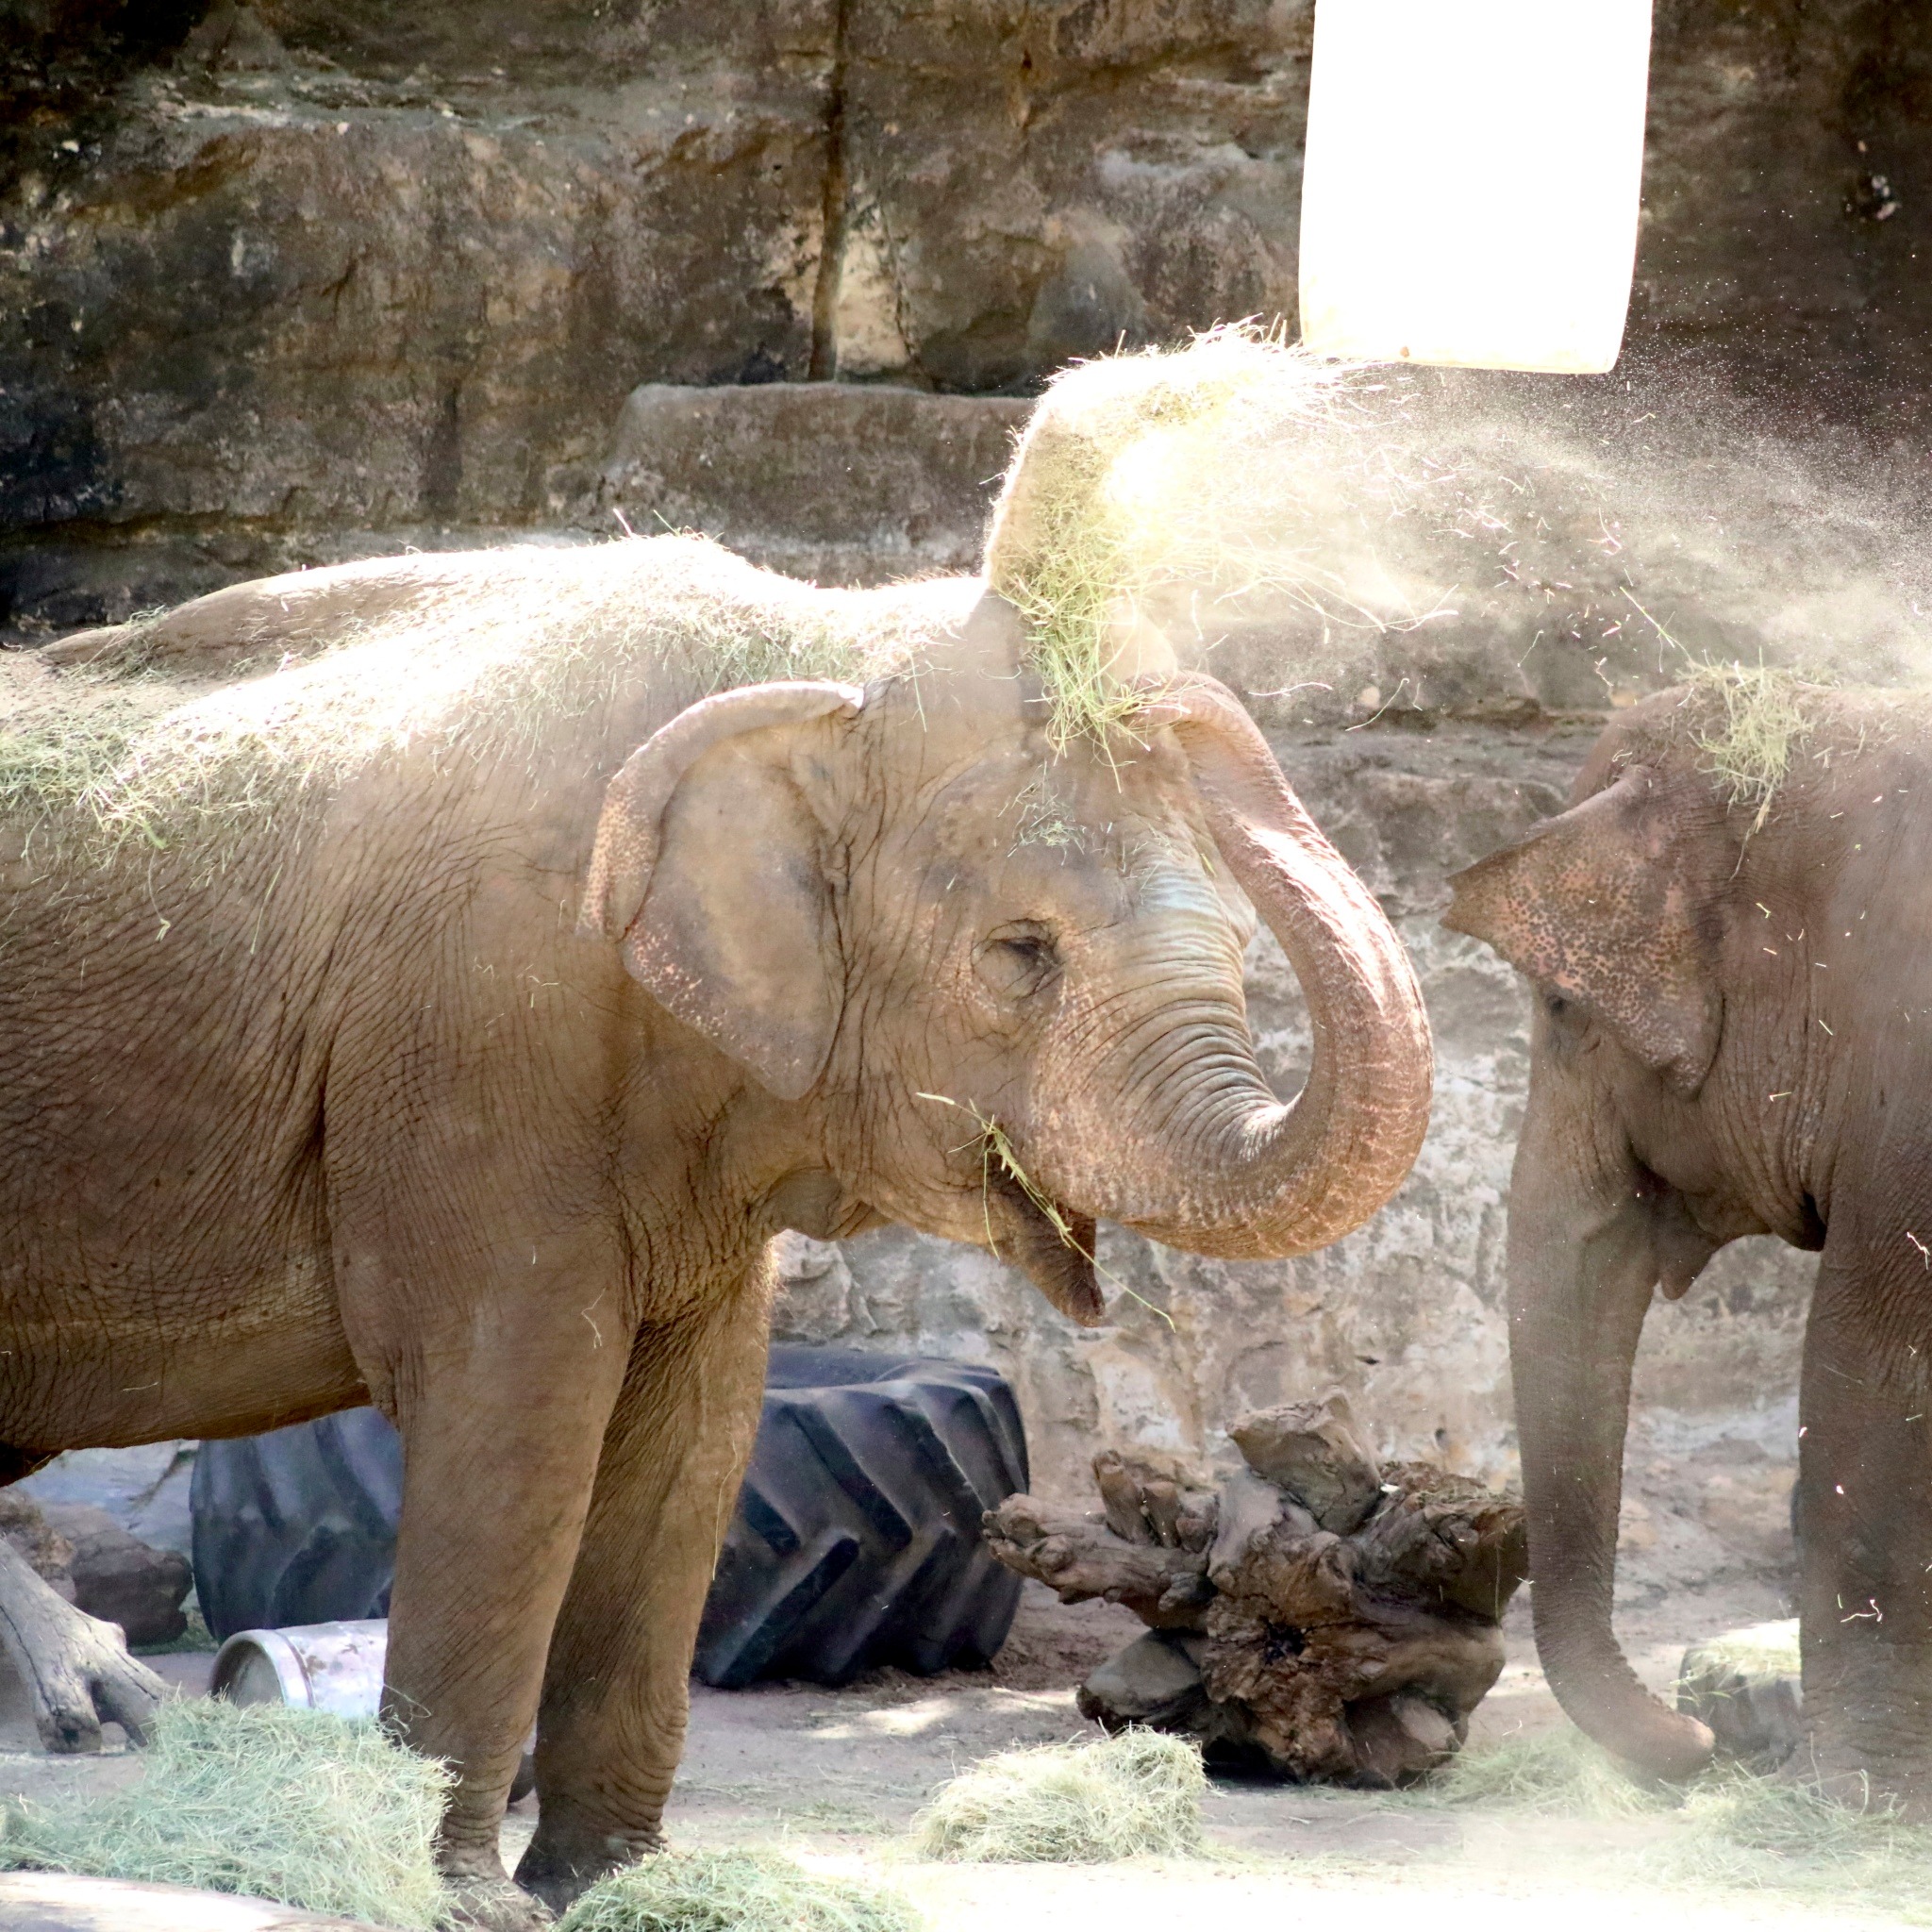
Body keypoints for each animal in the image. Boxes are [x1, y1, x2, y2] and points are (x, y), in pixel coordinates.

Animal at [0, 369, 1437, 1908]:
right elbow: (517, 1418)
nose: (1162, 391)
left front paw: (613, 1891)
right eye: (1019, 954)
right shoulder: (481, 1037)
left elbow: (695, 1439)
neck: (810, 648)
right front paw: (464, 1904)